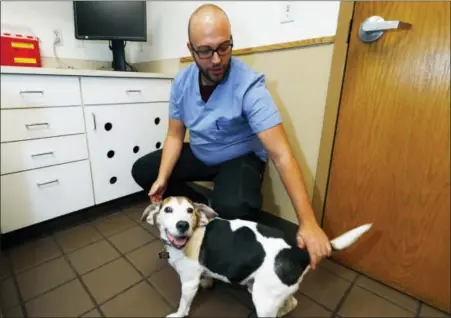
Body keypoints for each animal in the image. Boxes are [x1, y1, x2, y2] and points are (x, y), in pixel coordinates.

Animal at [142, 195, 374, 316]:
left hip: (263, 299)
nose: (183, 225)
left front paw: (178, 314)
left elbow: (183, 305)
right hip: (272, 290)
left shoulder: (189, 283)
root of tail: (300, 251)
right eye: (168, 210)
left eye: (190, 211)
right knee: (291, 303)